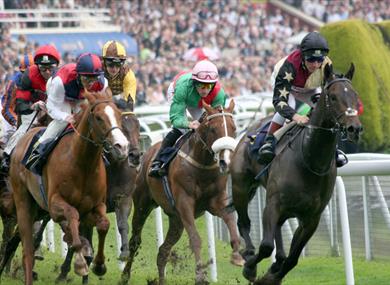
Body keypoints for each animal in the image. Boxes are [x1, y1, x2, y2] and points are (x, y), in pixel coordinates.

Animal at [4, 91, 129, 284]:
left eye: (119, 115)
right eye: (99, 117)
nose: (122, 147)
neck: (83, 164)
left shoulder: (96, 206)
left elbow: (103, 225)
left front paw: (99, 265)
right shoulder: (55, 205)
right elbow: (72, 217)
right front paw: (80, 262)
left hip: (38, 209)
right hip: (24, 202)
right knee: (28, 250)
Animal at [120, 100, 245, 284]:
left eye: (234, 128)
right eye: (213, 129)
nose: (226, 161)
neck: (203, 166)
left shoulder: (216, 202)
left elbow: (230, 220)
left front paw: (237, 255)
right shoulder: (184, 203)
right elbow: (195, 239)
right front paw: (200, 275)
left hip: (176, 220)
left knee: (163, 251)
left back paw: (161, 280)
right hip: (143, 204)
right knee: (135, 240)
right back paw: (124, 276)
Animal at [232, 63, 362, 284]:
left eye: (355, 95)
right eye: (333, 97)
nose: (355, 128)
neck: (310, 160)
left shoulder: (311, 218)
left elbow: (292, 259)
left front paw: (272, 276)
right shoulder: (273, 204)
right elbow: (266, 246)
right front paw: (251, 269)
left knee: (277, 234)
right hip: (241, 186)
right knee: (244, 223)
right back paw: (248, 254)